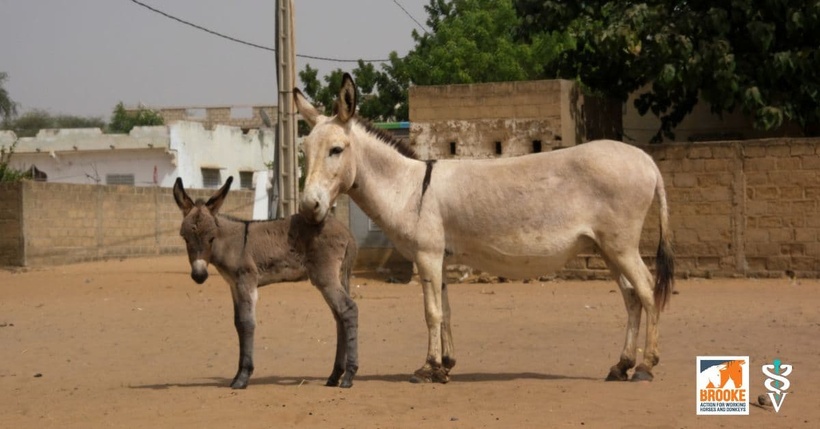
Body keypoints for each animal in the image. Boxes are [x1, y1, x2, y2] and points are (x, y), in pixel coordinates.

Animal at [173, 176, 359, 388]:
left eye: (211, 238)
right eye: (185, 238)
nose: (199, 276)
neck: (231, 243)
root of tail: (346, 231)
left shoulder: (246, 282)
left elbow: (247, 323)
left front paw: (243, 377)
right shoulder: (234, 286)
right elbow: (238, 323)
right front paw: (237, 375)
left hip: (325, 276)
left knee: (348, 309)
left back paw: (348, 375)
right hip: (334, 277)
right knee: (339, 315)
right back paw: (335, 375)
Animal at [293, 73, 675, 383]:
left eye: (336, 149)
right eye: (305, 150)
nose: (308, 206)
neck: (409, 187)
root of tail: (648, 161)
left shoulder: (426, 255)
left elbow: (431, 312)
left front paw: (427, 369)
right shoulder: (439, 258)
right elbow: (445, 311)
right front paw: (445, 365)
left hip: (621, 245)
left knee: (647, 289)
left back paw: (646, 366)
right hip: (608, 248)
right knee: (631, 297)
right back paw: (621, 365)